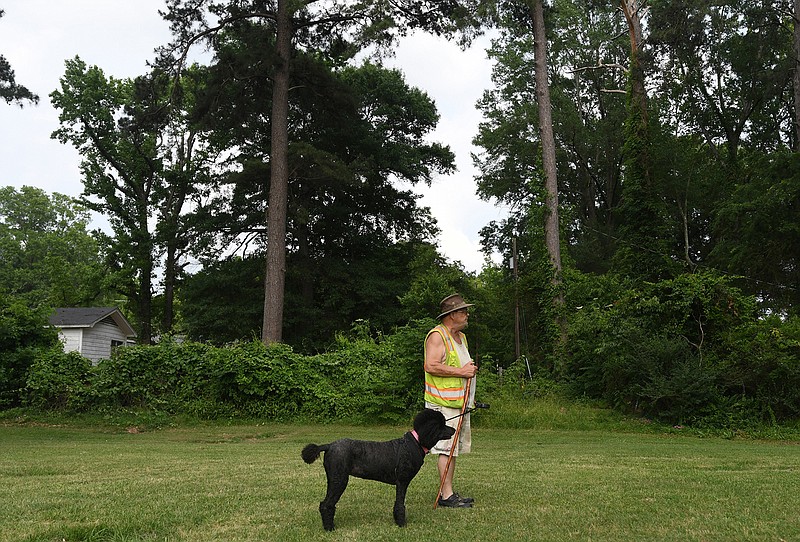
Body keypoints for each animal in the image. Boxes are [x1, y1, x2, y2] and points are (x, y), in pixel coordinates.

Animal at [302, 412, 454, 532]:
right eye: (440, 425)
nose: (453, 430)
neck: (416, 442)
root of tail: (329, 446)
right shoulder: (402, 481)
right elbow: (400, 504)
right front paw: (401, 523)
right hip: (339, 479)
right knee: (326, 505)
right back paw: (329, 528)